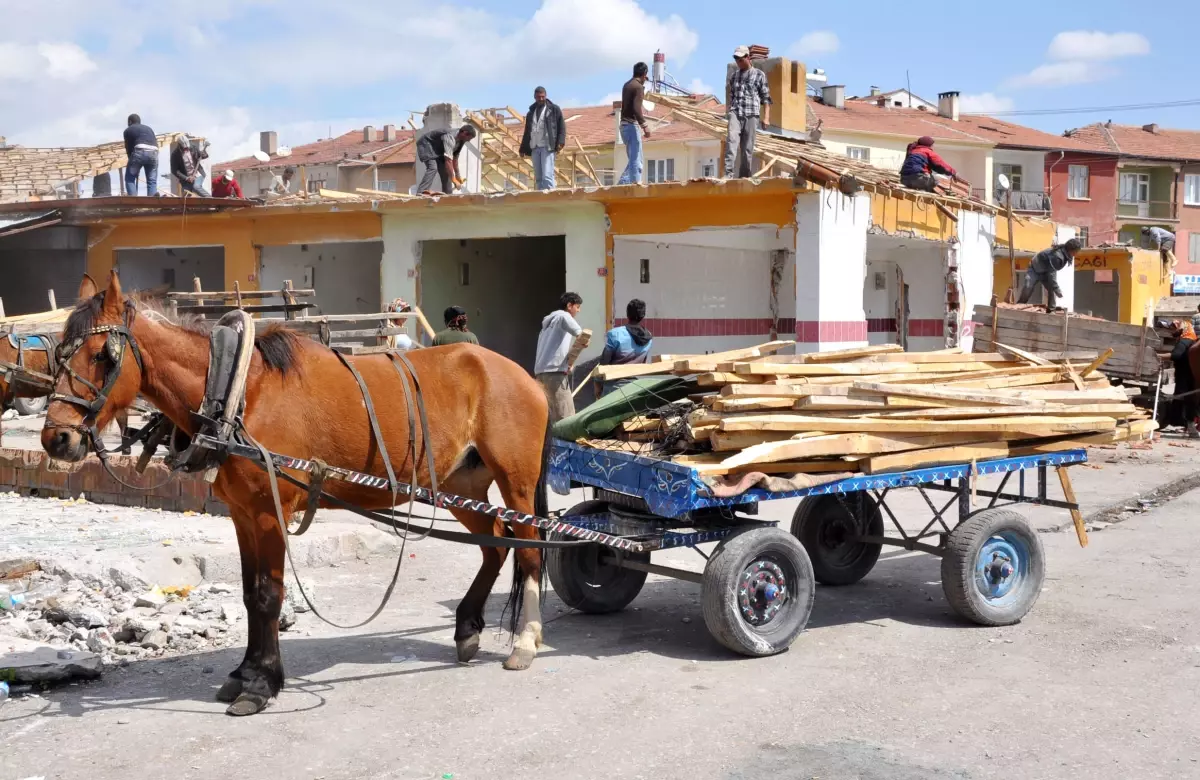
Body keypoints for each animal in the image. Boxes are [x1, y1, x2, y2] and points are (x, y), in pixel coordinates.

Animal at [39, 270, 554, 715]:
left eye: (103, 355)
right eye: (59, 354)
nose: (56, 439)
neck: (235, 394)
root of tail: (517, 372)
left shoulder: (271, 510)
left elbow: (269, 594)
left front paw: (262, 683)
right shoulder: (243, 513)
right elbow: (250, 594)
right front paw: (244, 672)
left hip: (517, 481)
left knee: (529, 549)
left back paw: (526, 640)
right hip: (457, 483)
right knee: (494, 543)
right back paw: (467, 627)